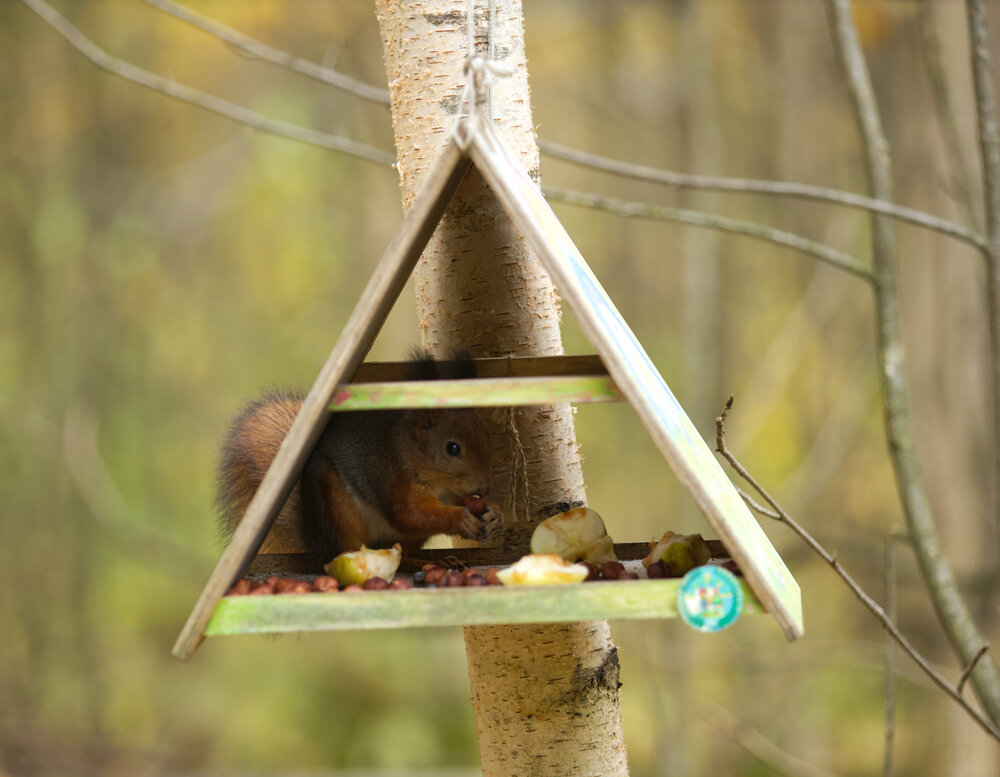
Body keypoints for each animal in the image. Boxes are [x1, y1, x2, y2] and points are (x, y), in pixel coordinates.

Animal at [217, 351, 503, 565]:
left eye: (487, 436)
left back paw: (434, 562)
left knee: (403, 555)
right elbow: (409, 514)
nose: (483, 488)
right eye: (452, 448)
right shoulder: (393, 479)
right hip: (339, 508)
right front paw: (459, 519)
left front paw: (494, 514)